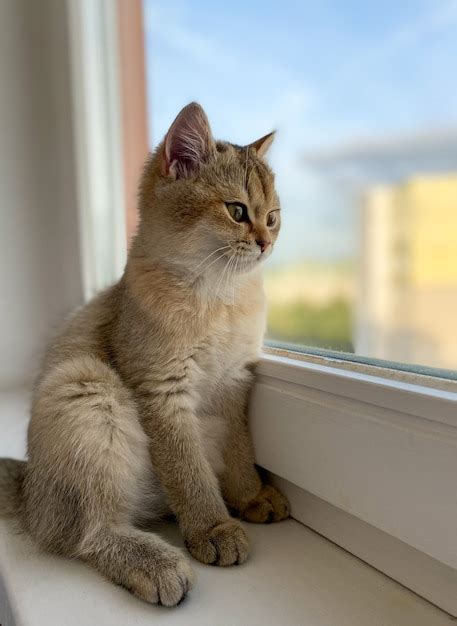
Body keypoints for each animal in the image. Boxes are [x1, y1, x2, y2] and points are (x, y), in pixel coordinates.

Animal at [0, 102, 288, 604]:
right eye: (237, 211)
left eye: (272, 216)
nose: (266, 242)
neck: (220, 298)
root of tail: (29, 485)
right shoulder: (163, 392)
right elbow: (189, 474)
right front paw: (213, 529)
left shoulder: (234, 386)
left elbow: (238, 451)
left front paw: (249, 496)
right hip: (85, 388)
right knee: (87, 534)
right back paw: (156, 564)